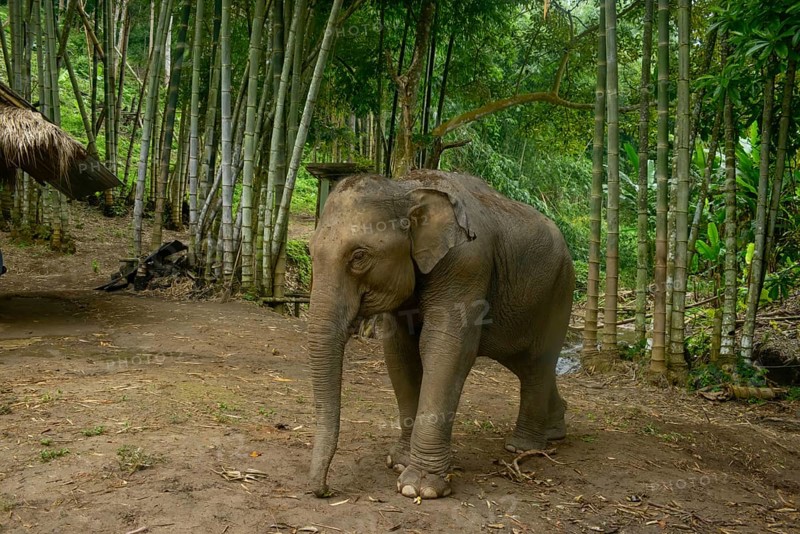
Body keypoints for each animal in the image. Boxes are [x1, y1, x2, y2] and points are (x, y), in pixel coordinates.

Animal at [307, 169, 575, 500]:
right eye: (309, 252)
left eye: (358, 256)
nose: (324, 490)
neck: (408, 189)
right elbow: (399, 351)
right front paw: (398, 462)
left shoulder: (466, 264)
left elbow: (445, 347)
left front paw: (419, 486)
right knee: (526, 364)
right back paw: (555, 430)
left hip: (560, 291)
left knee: (538, 362)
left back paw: (522, 447)